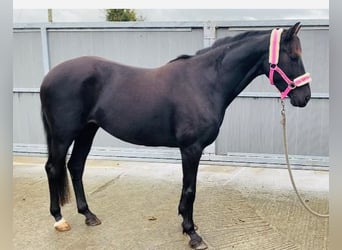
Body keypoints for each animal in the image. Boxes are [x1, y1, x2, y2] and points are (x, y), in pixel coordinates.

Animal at [39, 22, 310, 249]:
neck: (205, 82)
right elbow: (190, 189)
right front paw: (192, 233)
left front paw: (187, 225)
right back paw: (59, 219)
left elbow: (187, 188)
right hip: (63, 135)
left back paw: (88, 215)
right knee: (53, 168)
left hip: (88, 130)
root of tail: (49, 77)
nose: (305, 97)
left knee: (75, 166)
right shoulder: (191, 148)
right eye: (293, 56)